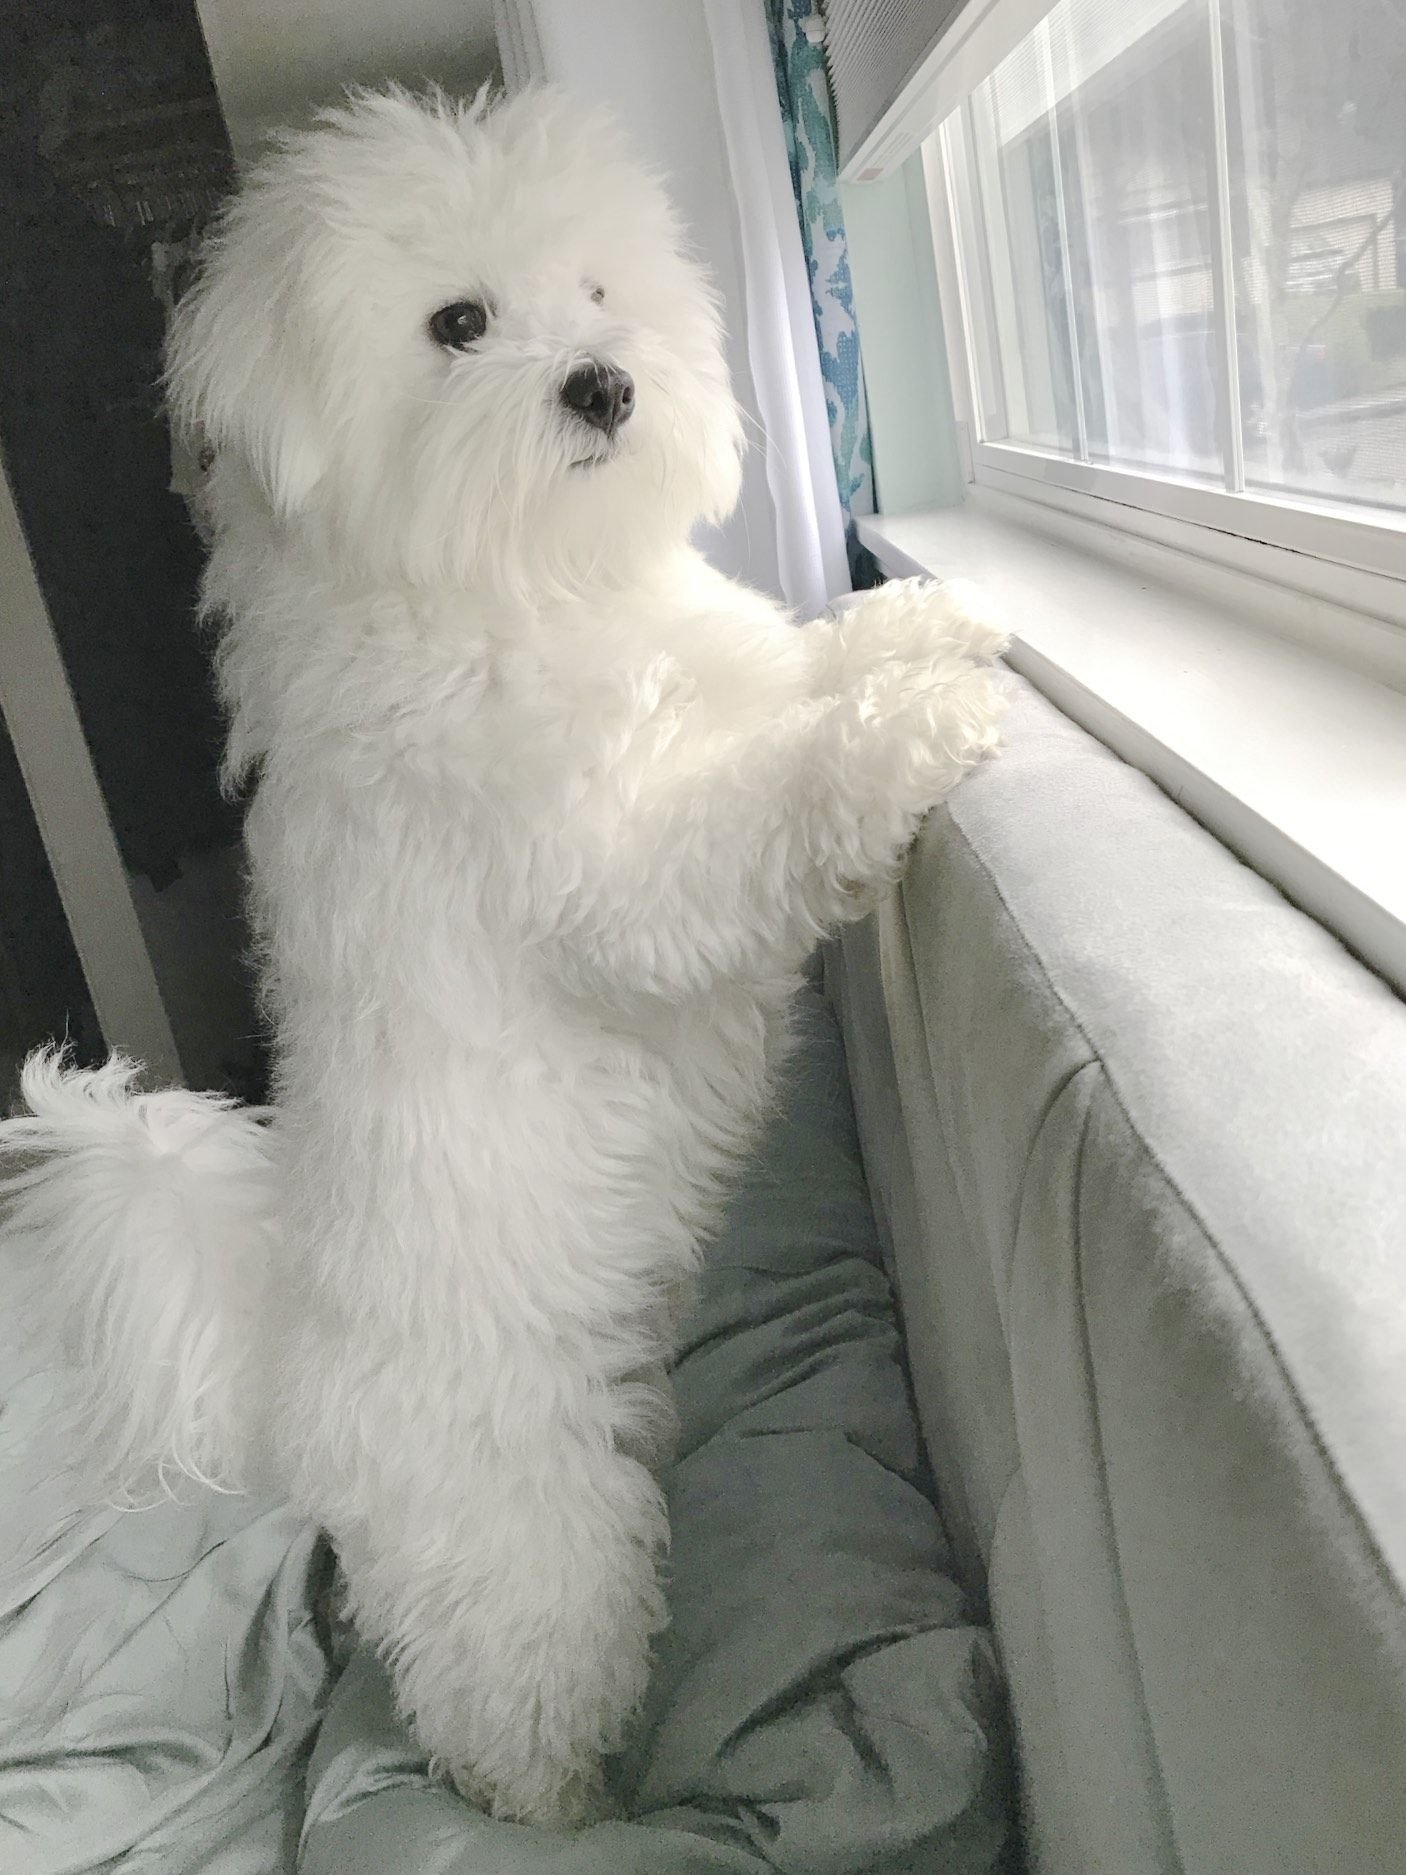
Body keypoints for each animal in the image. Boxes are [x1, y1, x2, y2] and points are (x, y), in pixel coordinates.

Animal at [0, 87, 1006, 1828]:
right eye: (456, 323)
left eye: (598, 291)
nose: (602, 380)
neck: (527, 577)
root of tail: (283, 1379)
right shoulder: (626, 866)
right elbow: (778, 787)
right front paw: (914, 724)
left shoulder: (729, 670)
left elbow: (806, 659)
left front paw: (929, 626)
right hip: (526, 1551)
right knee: (518, 1694)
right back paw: (566, 1808)